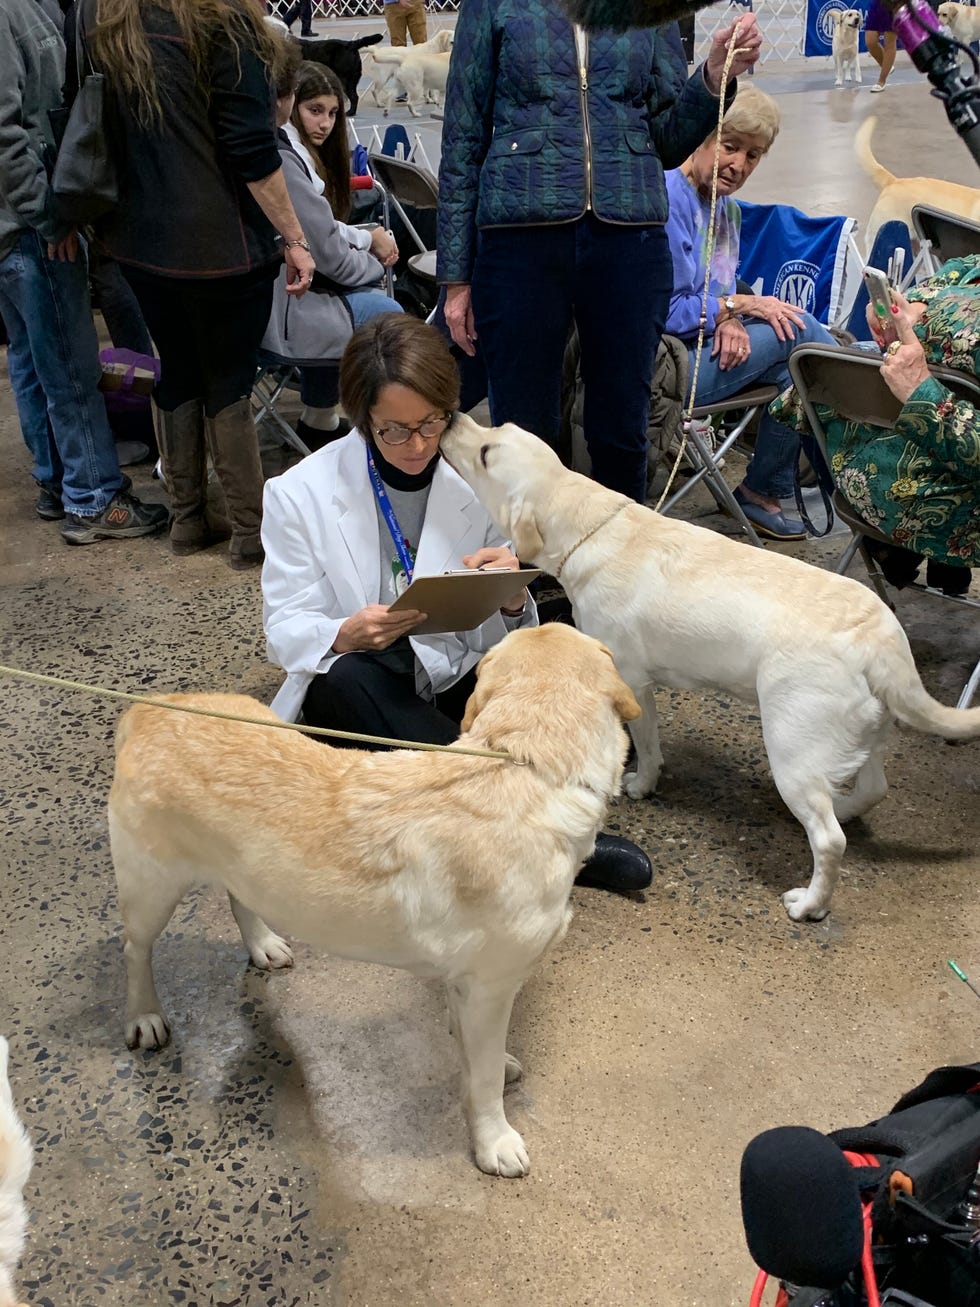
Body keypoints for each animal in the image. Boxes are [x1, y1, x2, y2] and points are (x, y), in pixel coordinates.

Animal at [109, 619, 645, 1176]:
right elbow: (484, 1082)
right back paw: (144, 1016)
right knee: (134, 949)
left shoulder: (465, 984)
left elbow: (471, 1050)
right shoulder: (491, 987)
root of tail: (152, 707)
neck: (526, 763)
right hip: (152, 890)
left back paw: (262, 944)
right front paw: (494, 1140)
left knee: (240, 899)